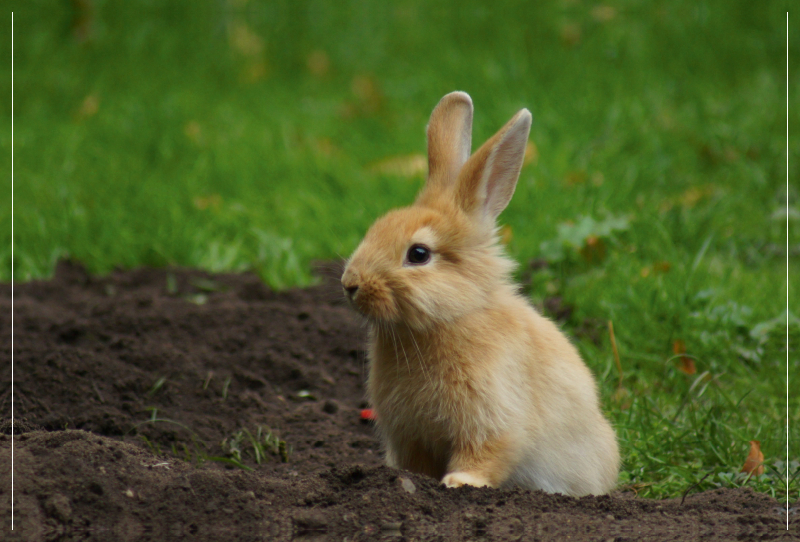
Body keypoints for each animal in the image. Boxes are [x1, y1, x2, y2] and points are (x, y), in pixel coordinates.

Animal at [340, 92, 620, 498]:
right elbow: (417, 462)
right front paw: (411, 479)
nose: (350, 283)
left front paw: (459, 482)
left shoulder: (492, 415)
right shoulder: (411, 433)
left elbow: (488, 451)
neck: (450, 318)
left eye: (418, 254)